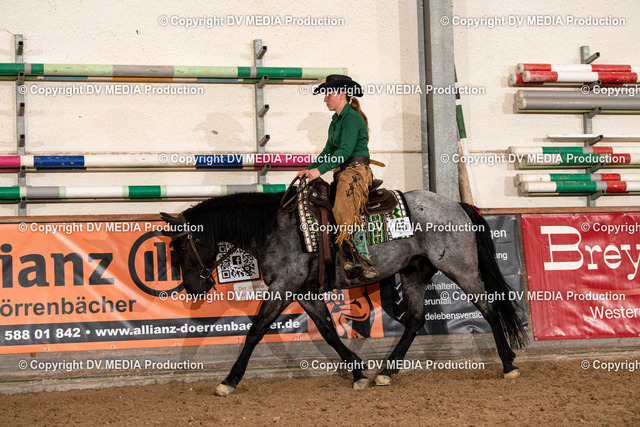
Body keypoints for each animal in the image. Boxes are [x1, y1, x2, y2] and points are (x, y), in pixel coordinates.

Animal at [161, 186, 527, 396]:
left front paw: (230, 380)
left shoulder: (283, 288)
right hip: (414, 273)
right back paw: (385, 373)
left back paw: (509, 365)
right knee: (414, 321)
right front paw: (358, 371)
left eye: (183, 246)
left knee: (490, 309)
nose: (193, 288)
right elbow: (328, 332)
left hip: (460, 267)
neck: (272, 226)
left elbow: (255, 332)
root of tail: (457, 205)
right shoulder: (305, 293)